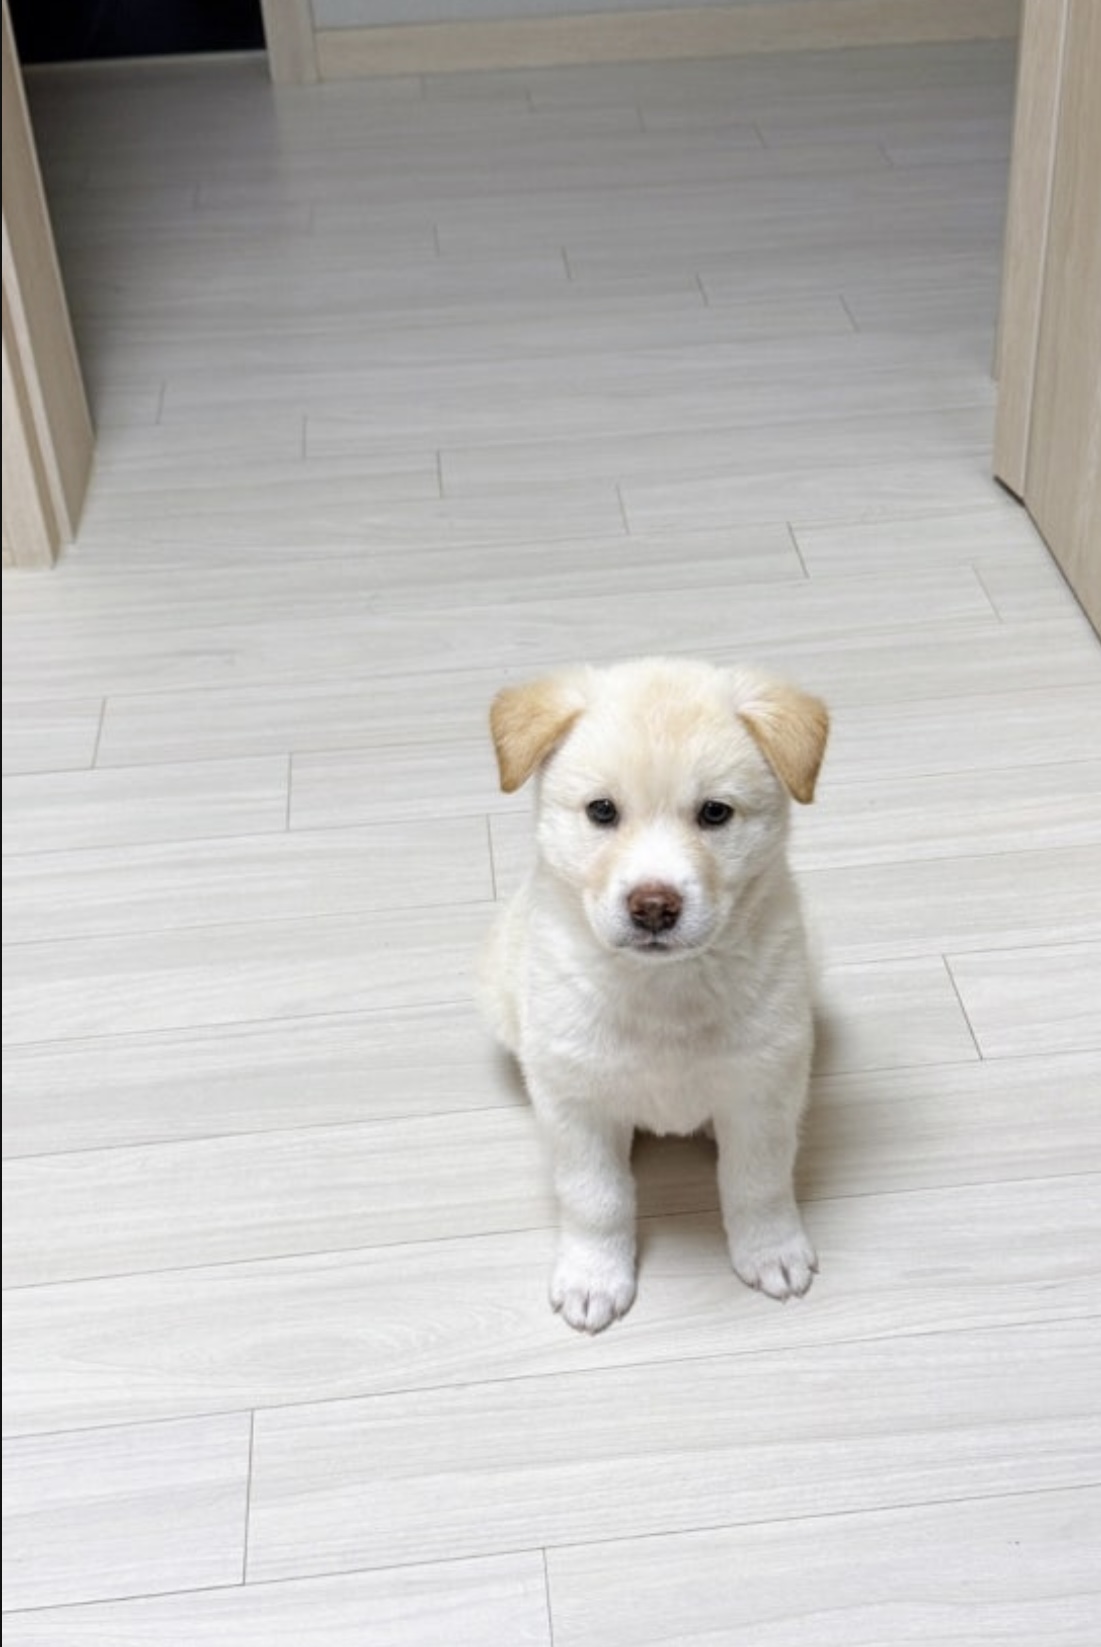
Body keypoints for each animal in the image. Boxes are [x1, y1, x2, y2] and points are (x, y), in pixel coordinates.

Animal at [479, 655, 829, 1333]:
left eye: (715, 813)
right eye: (602, 811)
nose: (653, 907)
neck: (664, 989)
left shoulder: (765, 1088)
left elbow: (759, 1180)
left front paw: (771, 1250)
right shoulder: (576, 1105)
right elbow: (596, 1197)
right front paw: (594, 1276)